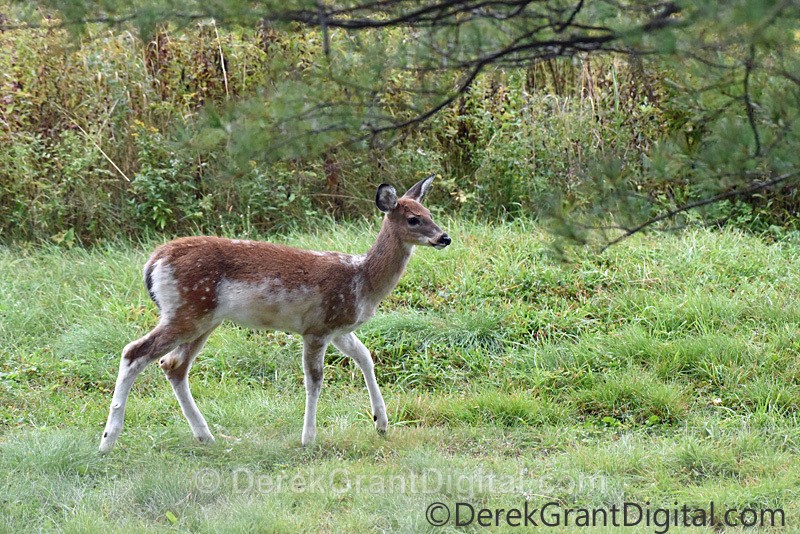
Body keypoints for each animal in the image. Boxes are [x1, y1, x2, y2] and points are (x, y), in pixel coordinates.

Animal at [99, 174, 451, 453]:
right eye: (413, 219)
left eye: (430, 213)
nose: (444, 237)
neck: (362, 280)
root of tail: (153, 262)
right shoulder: (317, 327)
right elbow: (315, 379)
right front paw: (308, 438)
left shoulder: (338, 328)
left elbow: (365, 356)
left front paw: (381, 422)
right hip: (186, 311)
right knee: (134, 352)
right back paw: (107, 440)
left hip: (204, 319)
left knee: (172, 365)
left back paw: (206, 436)